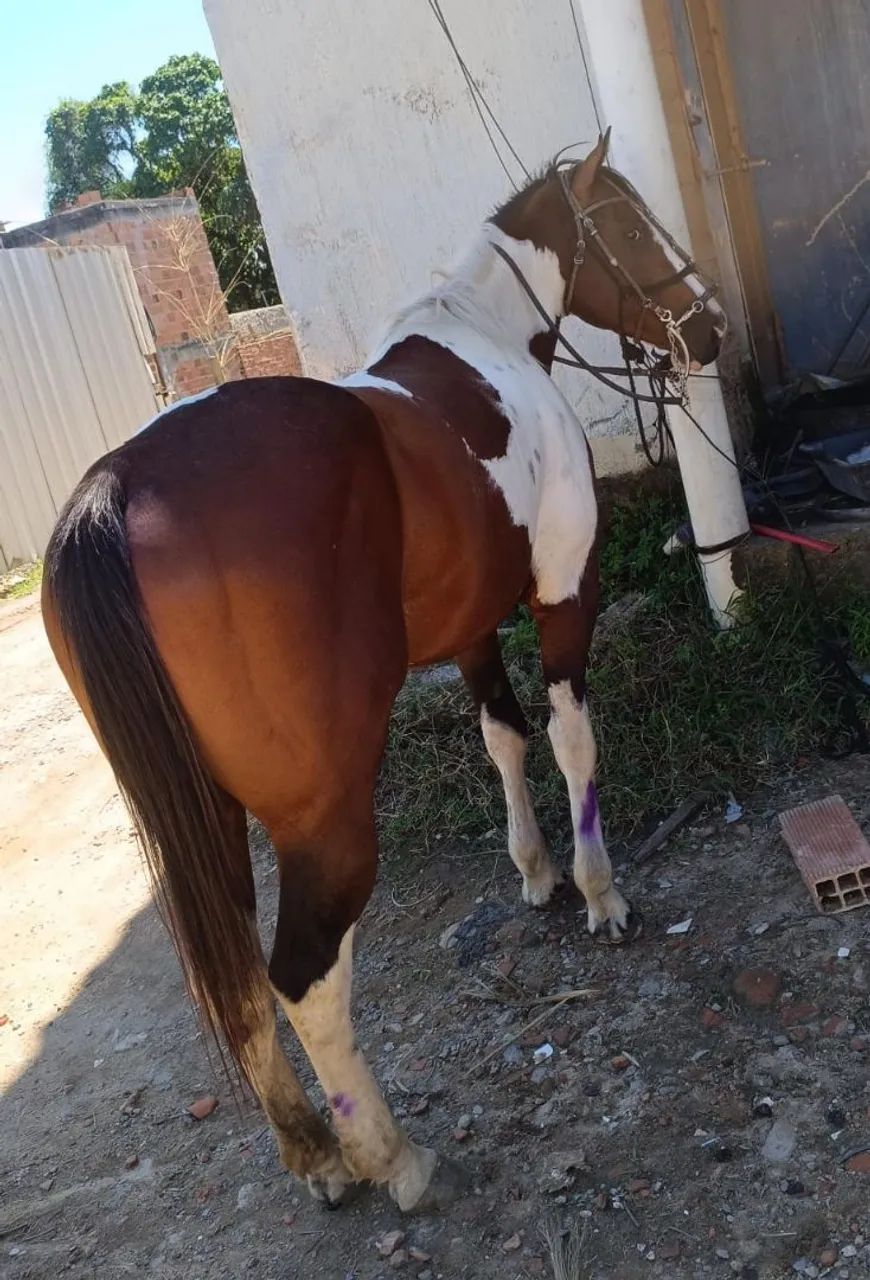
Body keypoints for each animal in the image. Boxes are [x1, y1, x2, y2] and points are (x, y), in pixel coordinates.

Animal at [42, 133, 725, 1214]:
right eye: (628, 222)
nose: (710, 329)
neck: (487, 344)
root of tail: (117, 486)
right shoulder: (562, 590)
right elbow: (571, 737)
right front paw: (597, 890)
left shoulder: (472, 625)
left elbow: (502, 736)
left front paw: (534, 871)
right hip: (325, 819)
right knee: (303, 977)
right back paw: (389, 1156)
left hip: (210, 822)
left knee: (242, 983)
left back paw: (316, 1152)